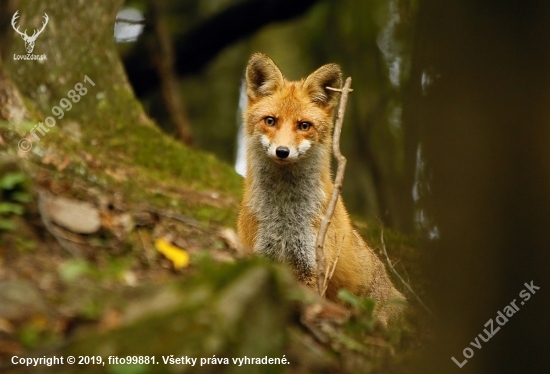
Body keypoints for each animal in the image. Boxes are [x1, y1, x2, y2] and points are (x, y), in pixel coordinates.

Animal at [237, 52, 406, 324]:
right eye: (270, 121)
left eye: (304, 125)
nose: (282, 151)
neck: (284, 216)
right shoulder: (261, 256)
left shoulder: (311, 266)